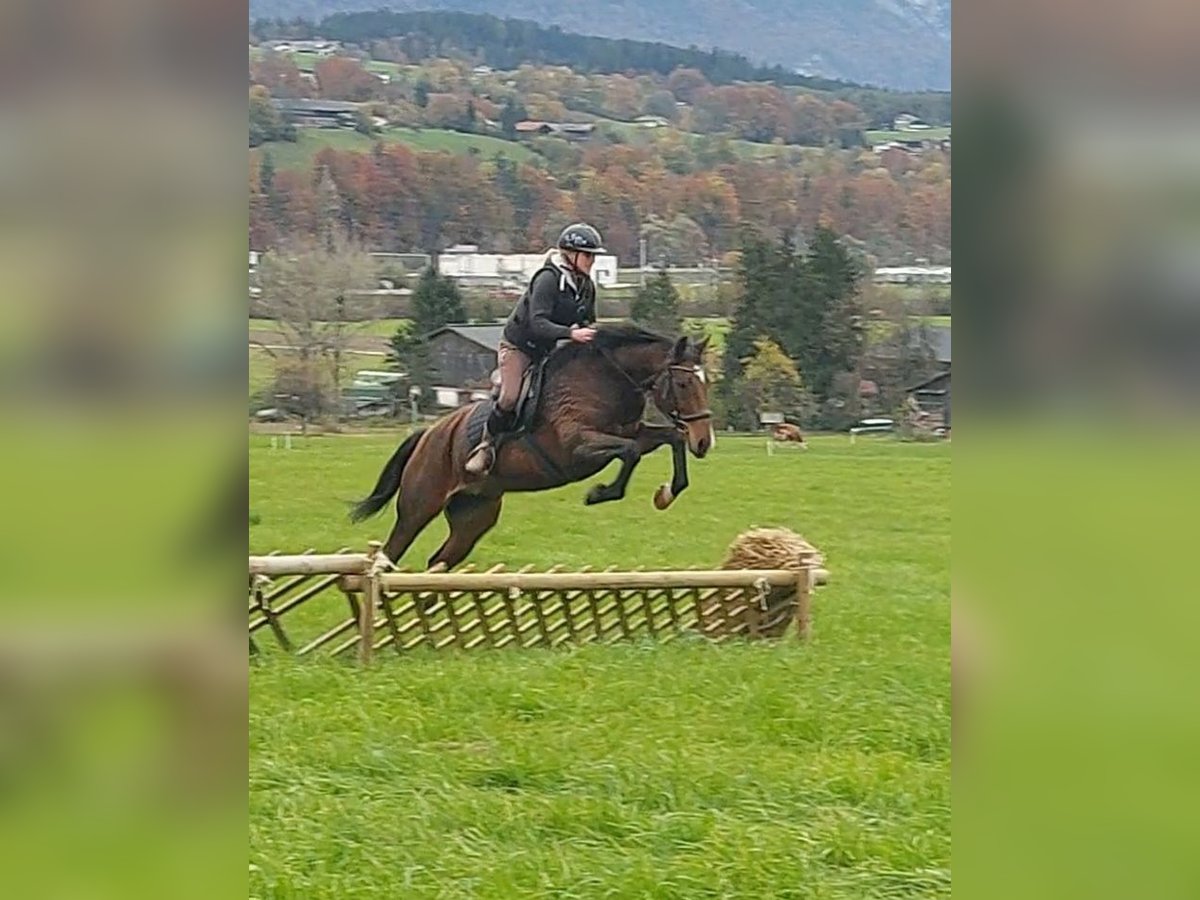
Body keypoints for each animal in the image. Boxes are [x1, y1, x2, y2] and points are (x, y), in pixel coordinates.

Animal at [348, 324, 714, 571]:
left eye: (706, 382)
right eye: (684, 383)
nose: (703, 442)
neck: (606, 379)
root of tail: (427, 434)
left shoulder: (635, 432)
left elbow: (670, 439)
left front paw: (666, 494)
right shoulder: (578, 448)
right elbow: (630, 453)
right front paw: (598, 494)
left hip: (474, 515)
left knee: (438, 560)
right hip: (419, 506)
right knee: (389, 553)